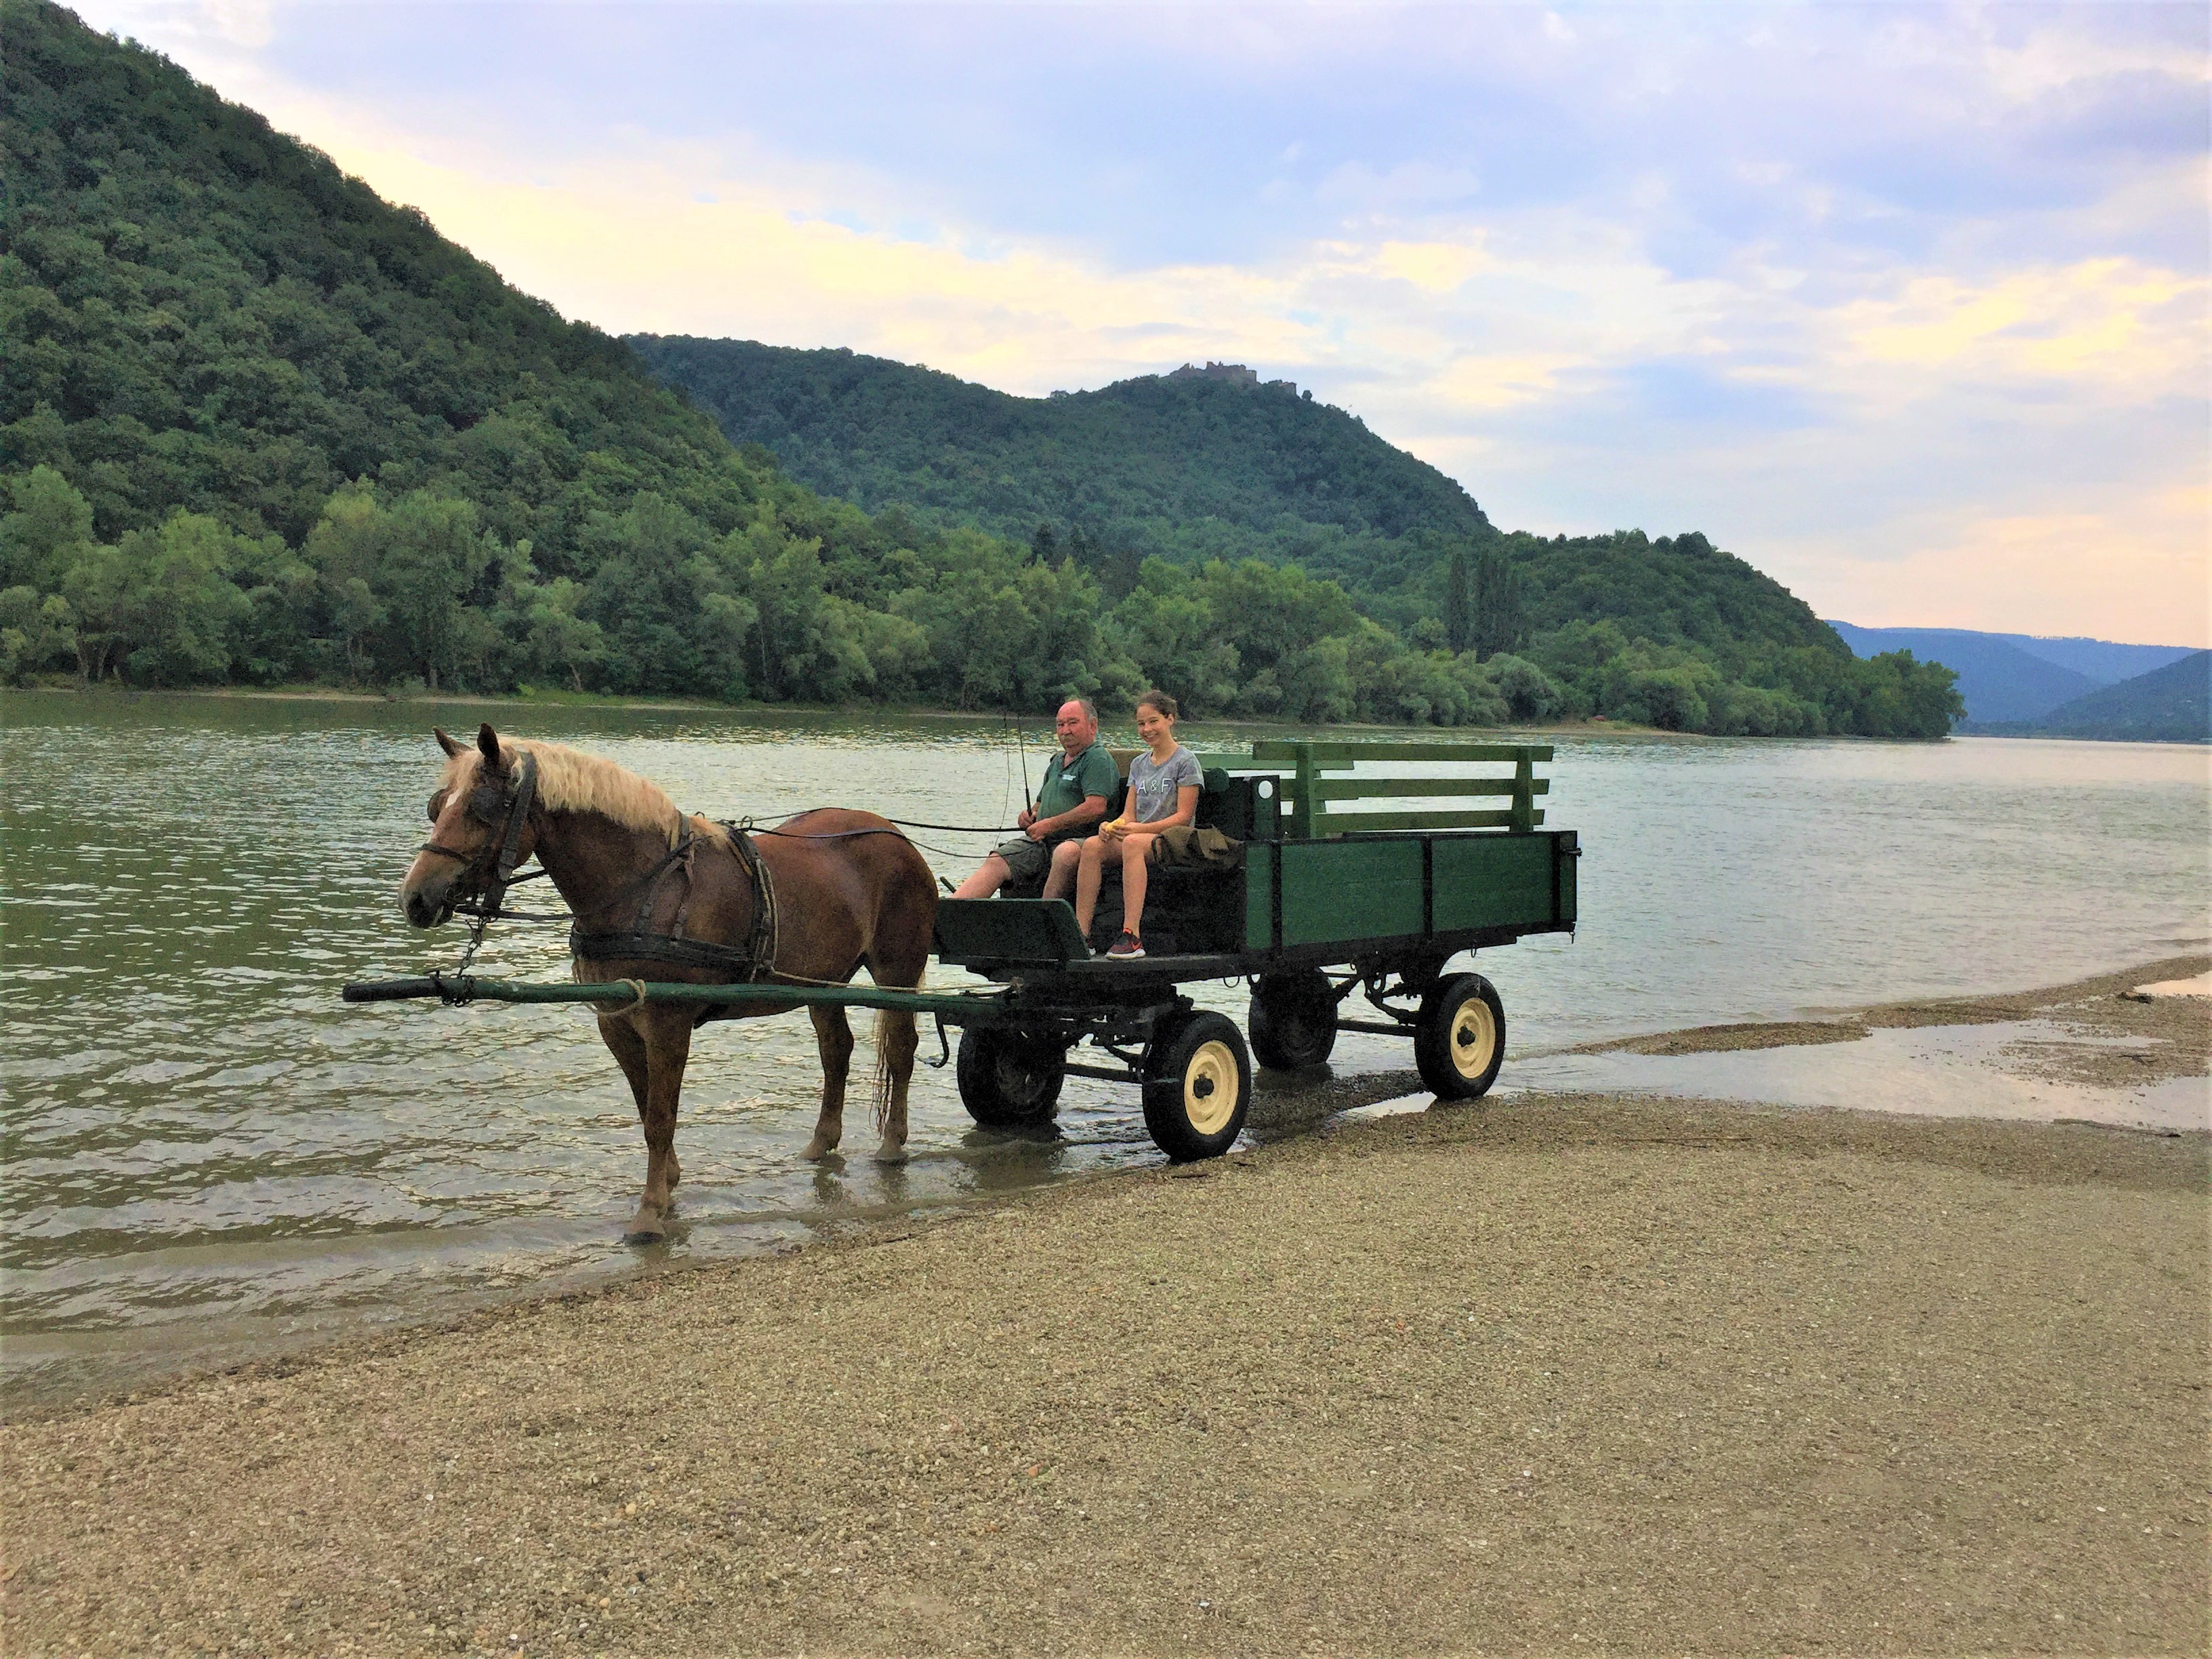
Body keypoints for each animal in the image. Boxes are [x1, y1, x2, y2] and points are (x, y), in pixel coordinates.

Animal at [398, 730, 933, 1247]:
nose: (415, 899)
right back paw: (822, 1143)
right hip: (824, 982)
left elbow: (660, 1118)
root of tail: (896, 838)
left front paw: (650, 1212)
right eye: (436, 806)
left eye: (480, 810)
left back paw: (892, 1142)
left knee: (902, 1049)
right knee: (836, 1051)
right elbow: (646, 1109)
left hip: (897, 971)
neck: (645, 888)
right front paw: (668, 1184)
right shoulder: (617, 1023)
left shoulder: (668, 1025)